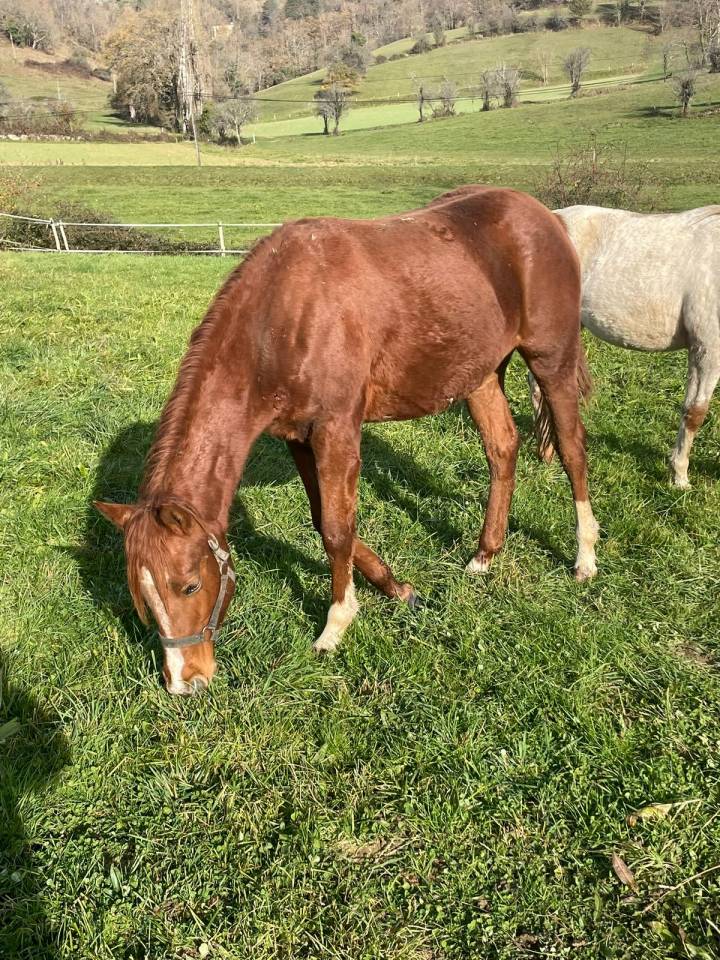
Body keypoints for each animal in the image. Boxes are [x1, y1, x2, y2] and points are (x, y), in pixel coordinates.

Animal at [95, 186, 599, 696]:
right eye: (143, 597)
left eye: (190, 586)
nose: (184, 681)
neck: (282, 320)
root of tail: (545, 216)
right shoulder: (297, 438)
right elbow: (324, 521)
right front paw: (398, 589)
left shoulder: (336, 430)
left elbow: (338, 529)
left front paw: (336, 624)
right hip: (479, 374)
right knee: (502, 449)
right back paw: (485, 554)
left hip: (551, 359)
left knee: (573, 450)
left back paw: (585, 558)